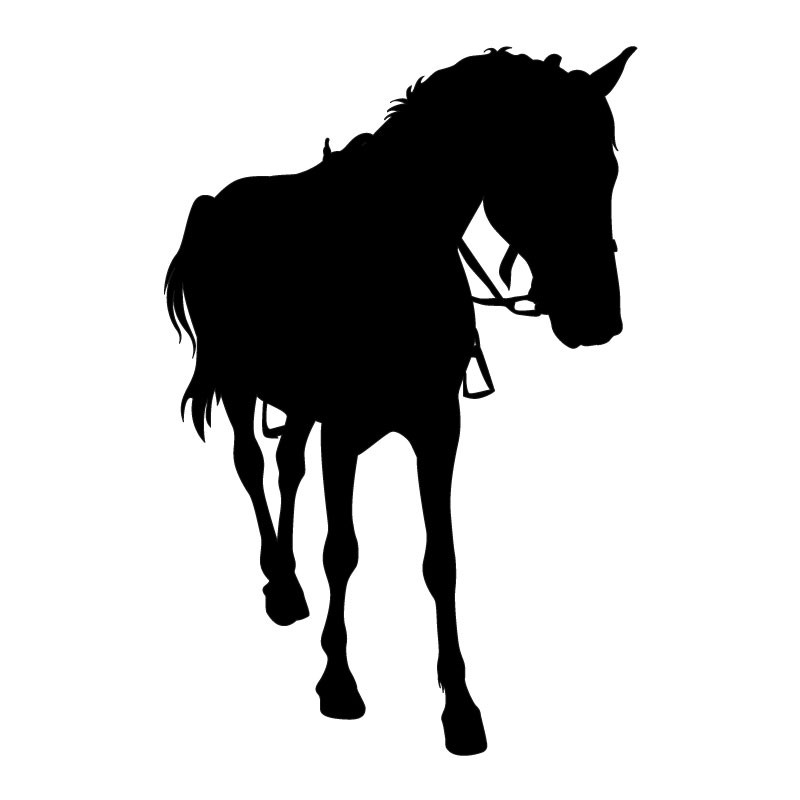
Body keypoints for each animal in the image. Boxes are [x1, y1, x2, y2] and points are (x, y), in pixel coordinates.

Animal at [164, 45, 635, 755]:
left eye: (608, 170)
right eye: (541, 165)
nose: (597, 316)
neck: (390, 253)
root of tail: (215, 204)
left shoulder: (438, 428)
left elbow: (441, 562)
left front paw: (460, 708)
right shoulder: (343, 434)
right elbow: (343, 552)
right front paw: (338, 682)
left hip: (298, 403)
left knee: (287, 467)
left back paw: (290, 582)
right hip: (241, 382)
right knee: (250, 465)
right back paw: (279, 582)